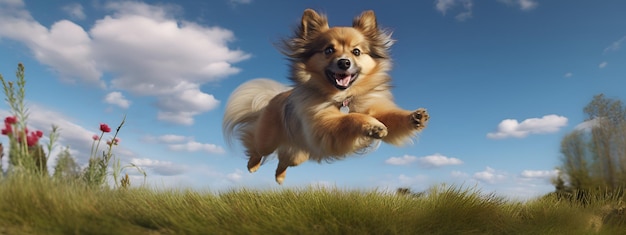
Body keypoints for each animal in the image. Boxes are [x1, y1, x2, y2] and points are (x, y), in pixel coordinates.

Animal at [223, 9, 428, 185]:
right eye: (329, 50)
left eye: (356, 52)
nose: (344, 62)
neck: (343, 97)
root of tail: (274, 98)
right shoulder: (323, 125)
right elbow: (351, 118)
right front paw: (371, 125)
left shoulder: (374, 110)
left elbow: (392, 118)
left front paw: (414, 117)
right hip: (268, 140)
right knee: (256, 148)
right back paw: (252, 165)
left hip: (299, 154)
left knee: (283, 161)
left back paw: (280, 178)